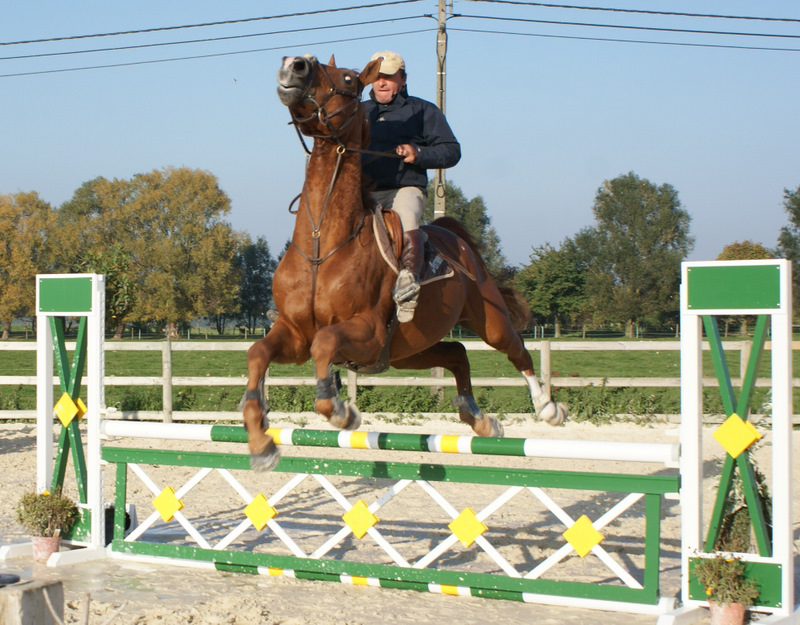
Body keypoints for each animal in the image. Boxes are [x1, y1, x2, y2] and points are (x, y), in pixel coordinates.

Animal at [241, 56, 564, 470]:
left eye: (349, 79)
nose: (294, 65)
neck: (321, 244)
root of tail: (456, 240)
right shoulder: (295, 334)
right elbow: (258, 353)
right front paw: (261, 442)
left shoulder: (368, 332)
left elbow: (326, 346)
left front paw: (343, 412)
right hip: (409, 349)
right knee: (456, 354)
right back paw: (481, 420)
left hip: (487, 320)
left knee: (517, 350)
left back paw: (548, 408)